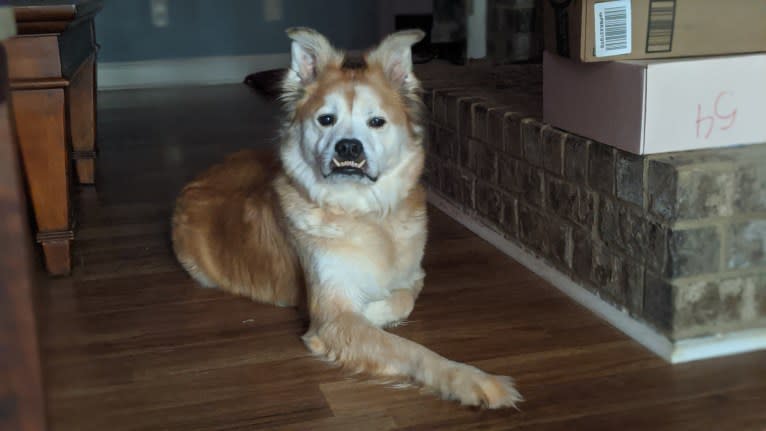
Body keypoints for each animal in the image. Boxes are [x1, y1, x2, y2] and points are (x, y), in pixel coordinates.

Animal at [172, 26, 520, 408]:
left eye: (377, 122)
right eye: (326, 119)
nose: (349, 147)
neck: (363, 211)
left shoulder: (414, 274)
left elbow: (404, 299)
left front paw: (373, 311)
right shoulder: (334, 312)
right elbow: (410, 349)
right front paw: (472, 379)